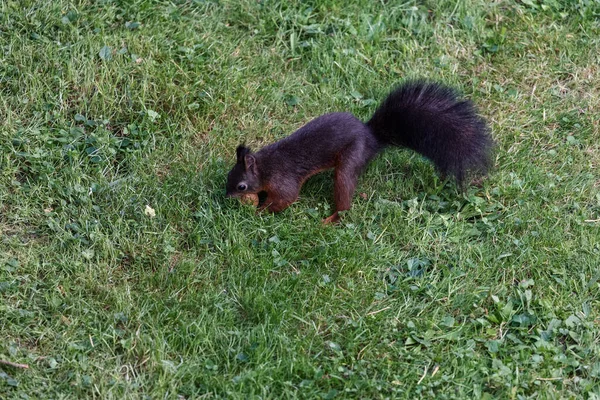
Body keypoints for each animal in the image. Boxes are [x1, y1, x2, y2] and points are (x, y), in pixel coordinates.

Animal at [225, 80, 492, 225]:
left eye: (241, 186)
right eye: (229, 176)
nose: (226, 197)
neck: (264, 167)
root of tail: (371, 138)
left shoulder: (284, 181)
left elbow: (286, 198)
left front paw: (260, 211)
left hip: (351, 159)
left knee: (344, 193)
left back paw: (331, 220)